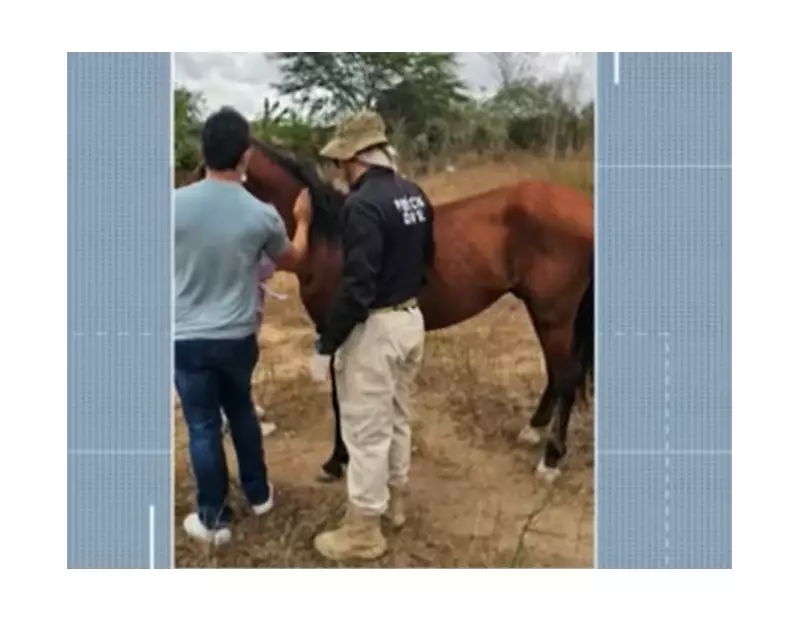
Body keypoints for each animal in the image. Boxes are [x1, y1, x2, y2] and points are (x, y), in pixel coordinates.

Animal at [190, 138, 594, 482]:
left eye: (202, 173)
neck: (328, 238)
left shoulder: (335, 330)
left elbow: (340, 399)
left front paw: (337, 460)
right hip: (548, 313)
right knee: (557, 373)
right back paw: (533, 431)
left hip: (552, 313)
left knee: (566, 374)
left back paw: (550, 460)